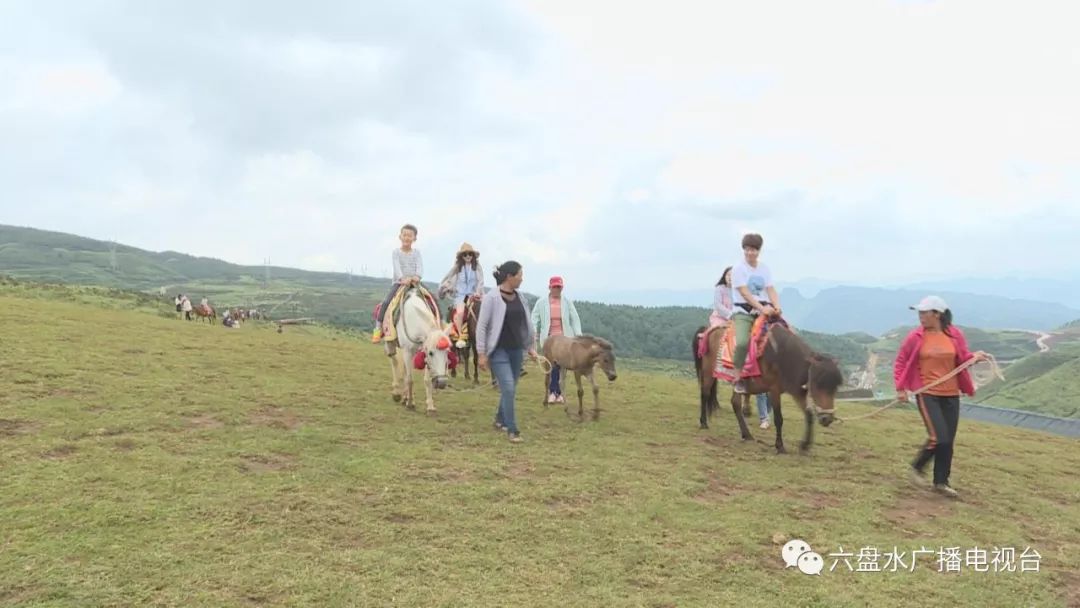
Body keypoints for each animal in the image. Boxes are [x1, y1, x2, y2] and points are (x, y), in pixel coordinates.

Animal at [691, 321, 842, 453]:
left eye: (835, 388)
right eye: (818, 384)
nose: (827, 419)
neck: (785, 357)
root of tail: (709, 330)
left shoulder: (796, 391)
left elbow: (809, 415)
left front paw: (805, 445)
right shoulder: (774, 390)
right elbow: (779, 419)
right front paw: (780, 446)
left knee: (735, 403)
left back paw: (747, 434)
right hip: (709, 371)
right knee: (705, 393)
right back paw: (704, 423)